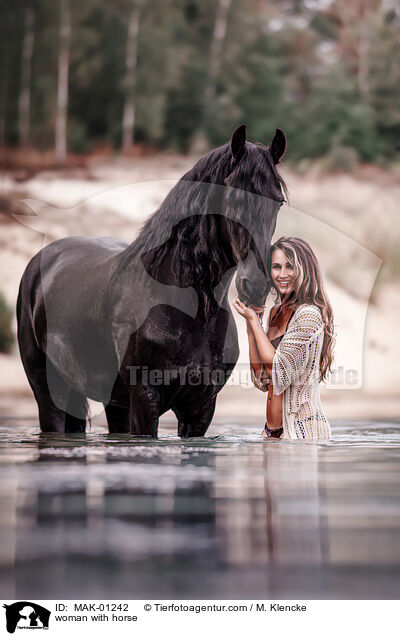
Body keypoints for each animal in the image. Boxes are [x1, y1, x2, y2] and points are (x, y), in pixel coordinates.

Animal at [17, 126, 286, 440]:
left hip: (113, 402)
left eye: (278, 201)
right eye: (233, 197)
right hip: (50, 394)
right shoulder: (145, 402)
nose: (255, 285)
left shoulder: (200, 409)